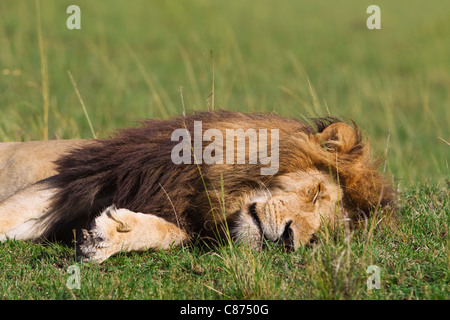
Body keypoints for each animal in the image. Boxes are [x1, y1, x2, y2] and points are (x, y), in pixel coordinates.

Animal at [0, 110, 394, 262]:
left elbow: (168, 233)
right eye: (316, 192)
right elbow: (11, 213)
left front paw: (109, 236)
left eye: (317, 238)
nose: (288, 239)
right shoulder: (76, 181)